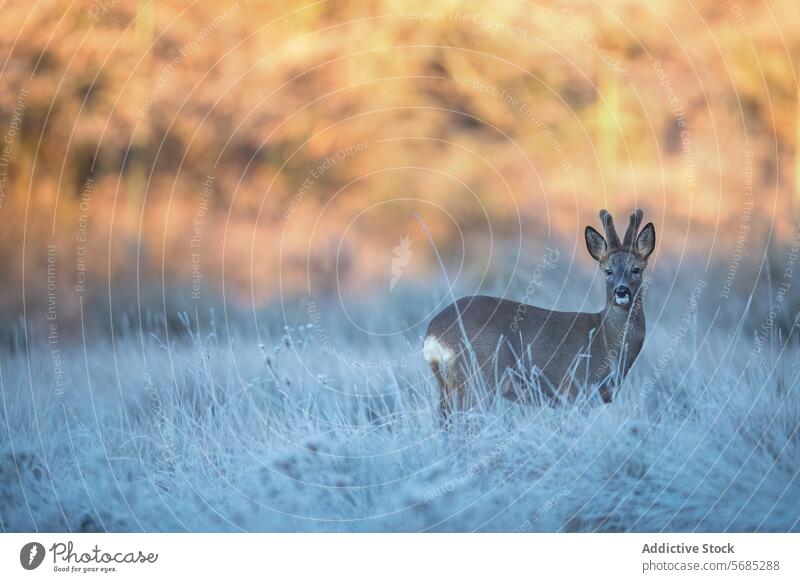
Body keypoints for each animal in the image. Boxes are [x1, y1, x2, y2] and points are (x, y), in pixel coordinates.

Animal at [424, 210, 656, 420]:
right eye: (608, 271)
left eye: (636, 269)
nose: (622, 291)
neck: (605, 336)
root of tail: (433, 334)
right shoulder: (576, 391)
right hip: (480, 377)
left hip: (448, 384)